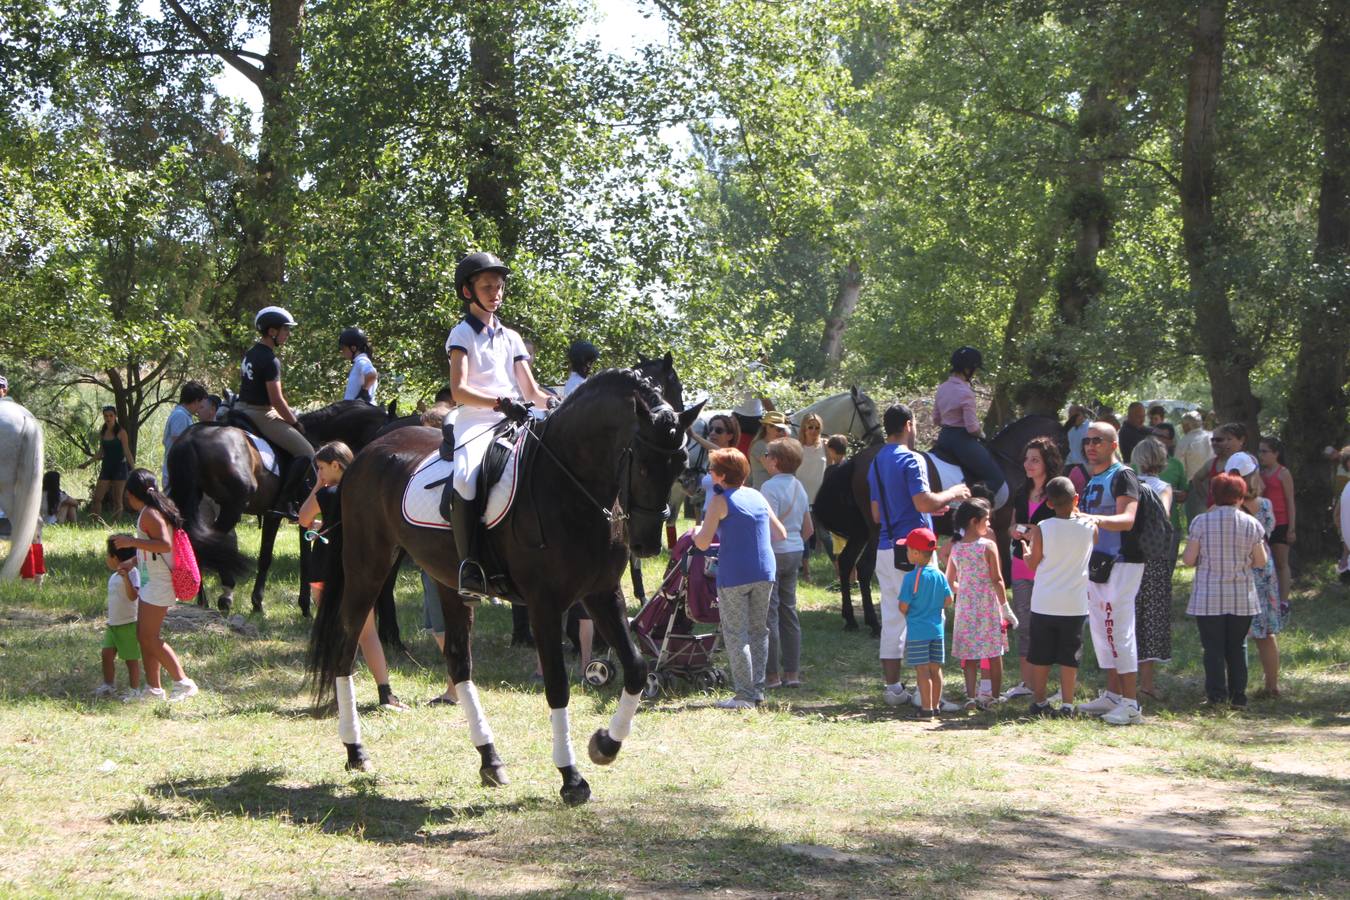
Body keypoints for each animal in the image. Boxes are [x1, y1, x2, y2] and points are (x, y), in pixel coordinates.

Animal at [166, 399, 396, 615]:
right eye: (386, 431)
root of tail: (191, 439)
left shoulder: (276, 514)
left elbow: (271, 556)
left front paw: (262, 603)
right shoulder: (294, 513)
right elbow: (296, 559)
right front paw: (299, 605)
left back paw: (203, 598)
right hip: (232, 506)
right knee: (212, 543)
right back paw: (222, 593)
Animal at [309, 369, 702, 804]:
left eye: (680, 462)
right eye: (643, 463)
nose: (647, 543)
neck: (568, 484)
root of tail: (366, 453)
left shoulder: (602, 594)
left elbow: (635, 668)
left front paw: (604, 745)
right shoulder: (544, 604)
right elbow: (557, 686)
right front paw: (571, 778)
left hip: (447, 581)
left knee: (458, 663)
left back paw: (490, 760)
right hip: (368, 567)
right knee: (346, 650)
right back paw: (356, 751)